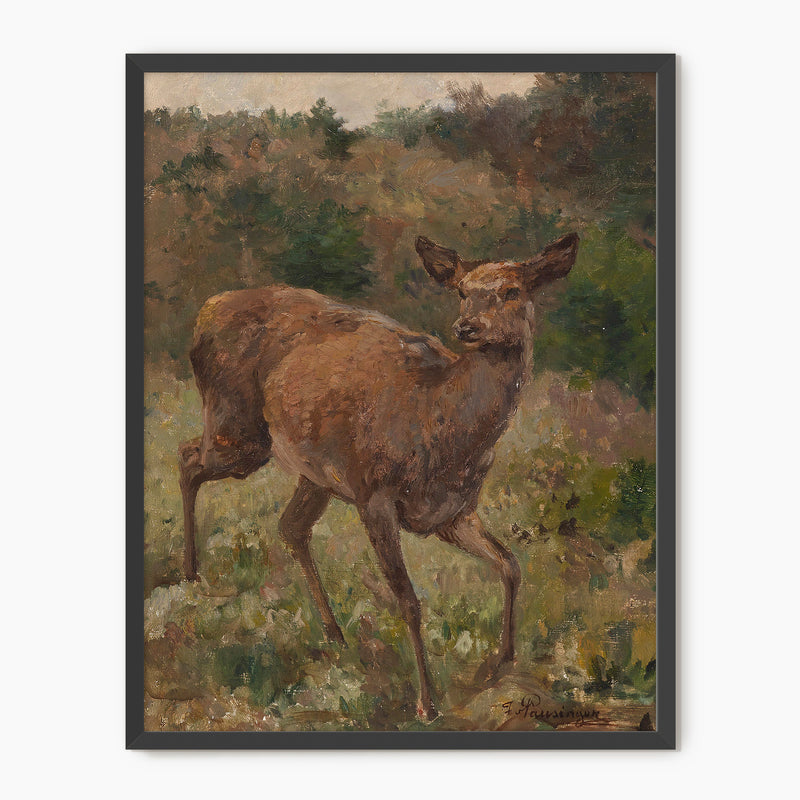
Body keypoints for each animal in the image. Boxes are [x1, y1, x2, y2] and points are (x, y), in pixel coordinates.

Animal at [178, 232, 578, 720]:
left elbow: (510, 564)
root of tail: (207, 307)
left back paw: (333, 633)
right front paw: (427, 704)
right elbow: (408, 601)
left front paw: (501, 662)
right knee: (187, 457)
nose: (467, 327)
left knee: (290, 526)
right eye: (462, 291)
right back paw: (191, 574)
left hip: (315, 471)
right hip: (238, 429)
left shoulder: (454, 513)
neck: (445, 428)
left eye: (512, 291)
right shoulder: (375, 494)